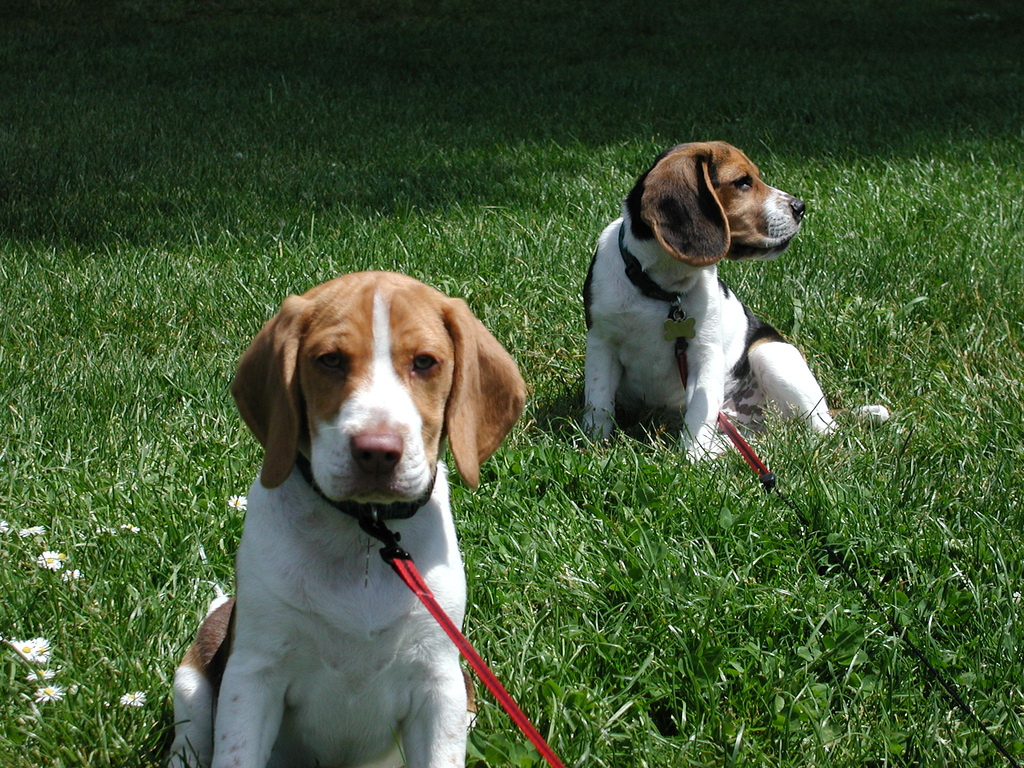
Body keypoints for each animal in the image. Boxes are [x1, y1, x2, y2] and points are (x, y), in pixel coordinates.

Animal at [168, 272, 528, 768]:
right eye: (330, 360)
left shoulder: (439, 682)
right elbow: (236, 753)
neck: (365, 533)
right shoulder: (254, 673)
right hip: (191, 682)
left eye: (424, 362)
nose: (377, 451)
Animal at [585, 140, 888, 456]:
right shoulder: (601, 343)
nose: (800, 207)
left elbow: (699, 413)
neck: (663, 289)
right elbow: (598, 401)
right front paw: (595, 445)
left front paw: (692, 459)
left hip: (771, 354)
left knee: (824, 429)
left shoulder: (705, 353)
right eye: (743, 182)